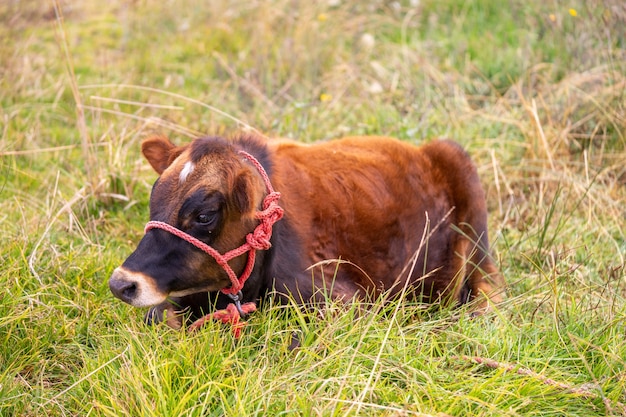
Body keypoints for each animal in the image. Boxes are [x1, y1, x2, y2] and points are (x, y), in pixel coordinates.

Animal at [109, 134, 504, 328]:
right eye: (154, 198)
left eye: (204, 215)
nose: (121, 284)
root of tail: (420, 149)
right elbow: (158, 316)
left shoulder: (344, 302)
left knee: (489, 279)